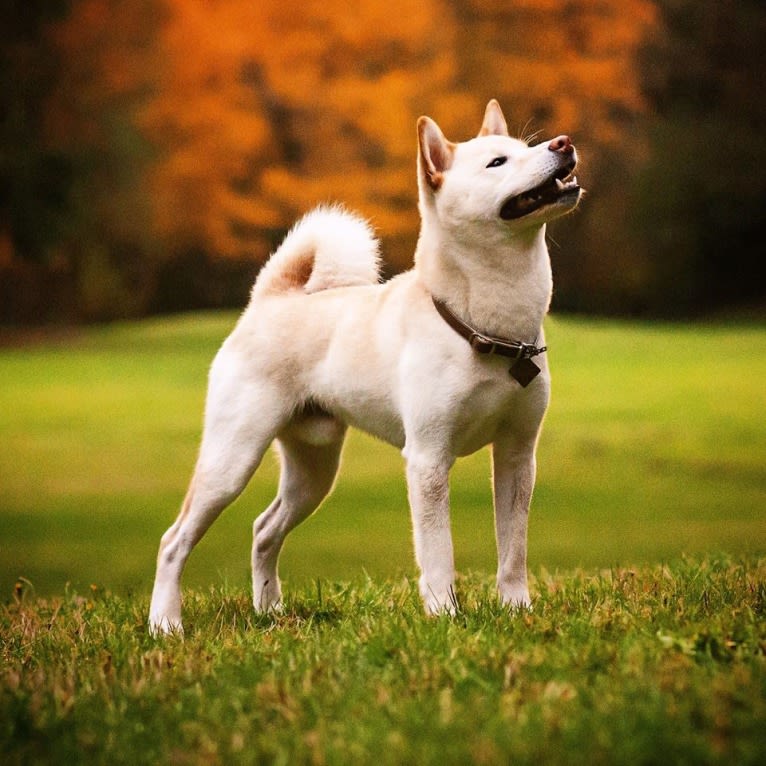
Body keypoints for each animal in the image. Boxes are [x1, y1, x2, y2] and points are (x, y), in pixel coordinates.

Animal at [148, 99, 584, 632]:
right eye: (497, 162)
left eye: (527, 147)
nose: (563, 143)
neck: (485, 328)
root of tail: (269, 301)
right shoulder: (428, 460)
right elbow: (438, 553)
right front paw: (444, 615)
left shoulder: (518, 455)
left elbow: (513, 550)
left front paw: (516, 608)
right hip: (231, 460)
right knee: (174, 541)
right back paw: (165, 624)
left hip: (313, 472)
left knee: (264, 529)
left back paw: (270, 611)